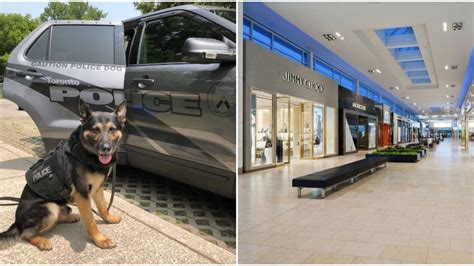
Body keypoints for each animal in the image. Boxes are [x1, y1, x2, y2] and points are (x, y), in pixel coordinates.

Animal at [0, 100, 126, 251]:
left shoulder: (97, 189)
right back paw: (41, 241)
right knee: (25, 234)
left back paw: (70, 218)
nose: (106, 148)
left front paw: (109, 219)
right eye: (95, 130)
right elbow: (91, 220)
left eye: (112, 129)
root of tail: (16, 223)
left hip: (65, 206)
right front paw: (100, 239)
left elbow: (103, 208)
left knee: (59, 218)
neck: (85, 152)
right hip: (49, 207)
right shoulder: (83, 195)